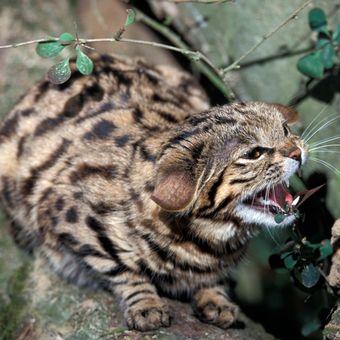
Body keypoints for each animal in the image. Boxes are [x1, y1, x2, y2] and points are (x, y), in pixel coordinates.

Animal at [0, 54, 308, 330]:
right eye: (254, 153)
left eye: (285, 129)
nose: (297, 151)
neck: (208, 242)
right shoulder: (64, 214)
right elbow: (121, 268)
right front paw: (145, 303)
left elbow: (214, 282)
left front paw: (216, 297)